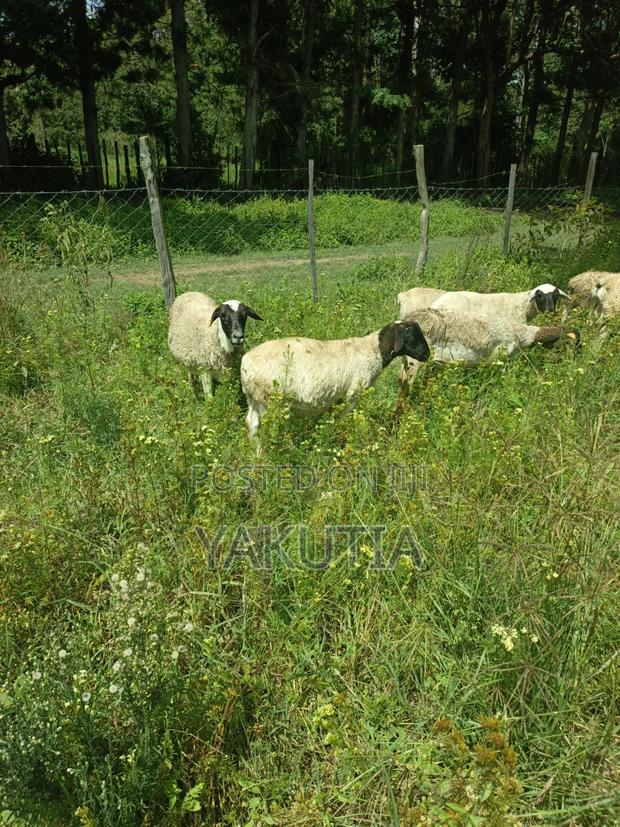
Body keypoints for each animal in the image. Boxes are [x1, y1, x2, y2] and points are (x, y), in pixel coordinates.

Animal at [240, 320, 431, 438]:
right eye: (413, 336)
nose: (427, 355)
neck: (374, 350)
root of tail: (245, 364)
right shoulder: (352, 395)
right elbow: (341, 419)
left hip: (254, 398)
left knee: (252, 424)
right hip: (272, 400)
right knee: (267, 429)